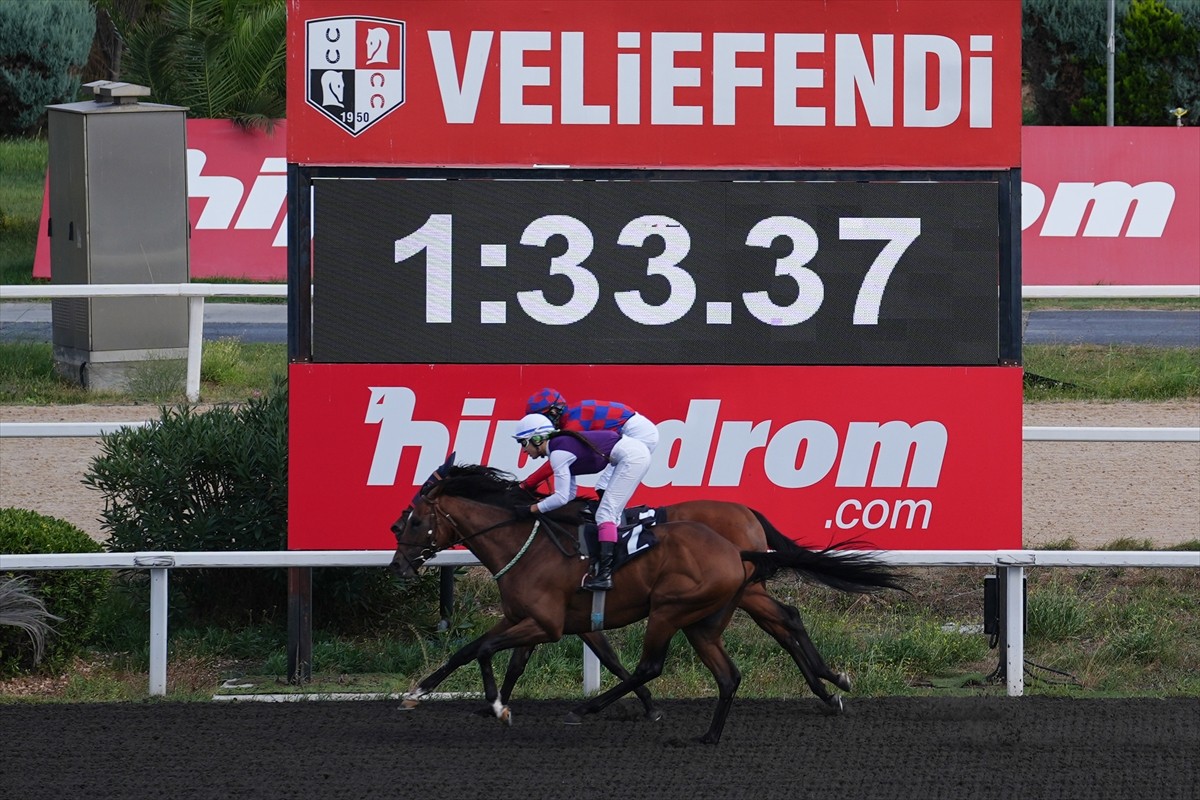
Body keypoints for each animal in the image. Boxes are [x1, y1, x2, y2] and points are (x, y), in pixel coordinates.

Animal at [388, 462, 902, 743]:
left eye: (413, 520)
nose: (398, 566)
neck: (528, 540)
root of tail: (746, 514)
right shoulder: (549, 619)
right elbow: (479, 652)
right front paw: (428, 694)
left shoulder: (550, 621)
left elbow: (498, 652)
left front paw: (495, 705)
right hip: (727, 599)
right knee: (783, 622)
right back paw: (828, 688)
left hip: (699, 602)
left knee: (781, 622)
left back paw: (828, 686)